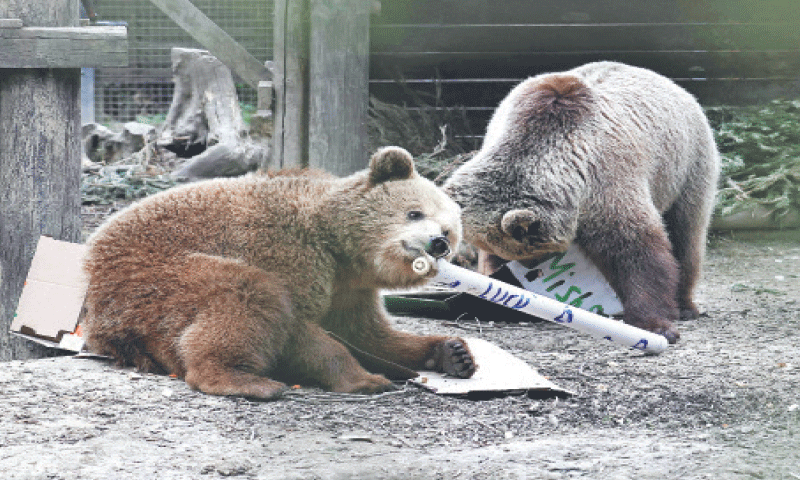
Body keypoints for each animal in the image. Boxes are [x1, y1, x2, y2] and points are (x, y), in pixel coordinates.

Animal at [82, 146, 475, 400]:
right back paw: (245, 380)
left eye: (450, 231)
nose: (438, 243)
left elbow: (367, 334)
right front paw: (366, 379)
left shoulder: (349, 289)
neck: (340, 248)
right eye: (414, 212)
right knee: (246, 294)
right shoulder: (287, 250)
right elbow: (301, 328)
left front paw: (453, 352)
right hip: (151, 276)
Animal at [443, 62, 720, 344]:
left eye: (528, 251)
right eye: (501, 252)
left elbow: (637, 251)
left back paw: (686, 305)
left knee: (686, 234)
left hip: (686, 166)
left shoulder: (607, 180)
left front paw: (655, 324)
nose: (528, 270)